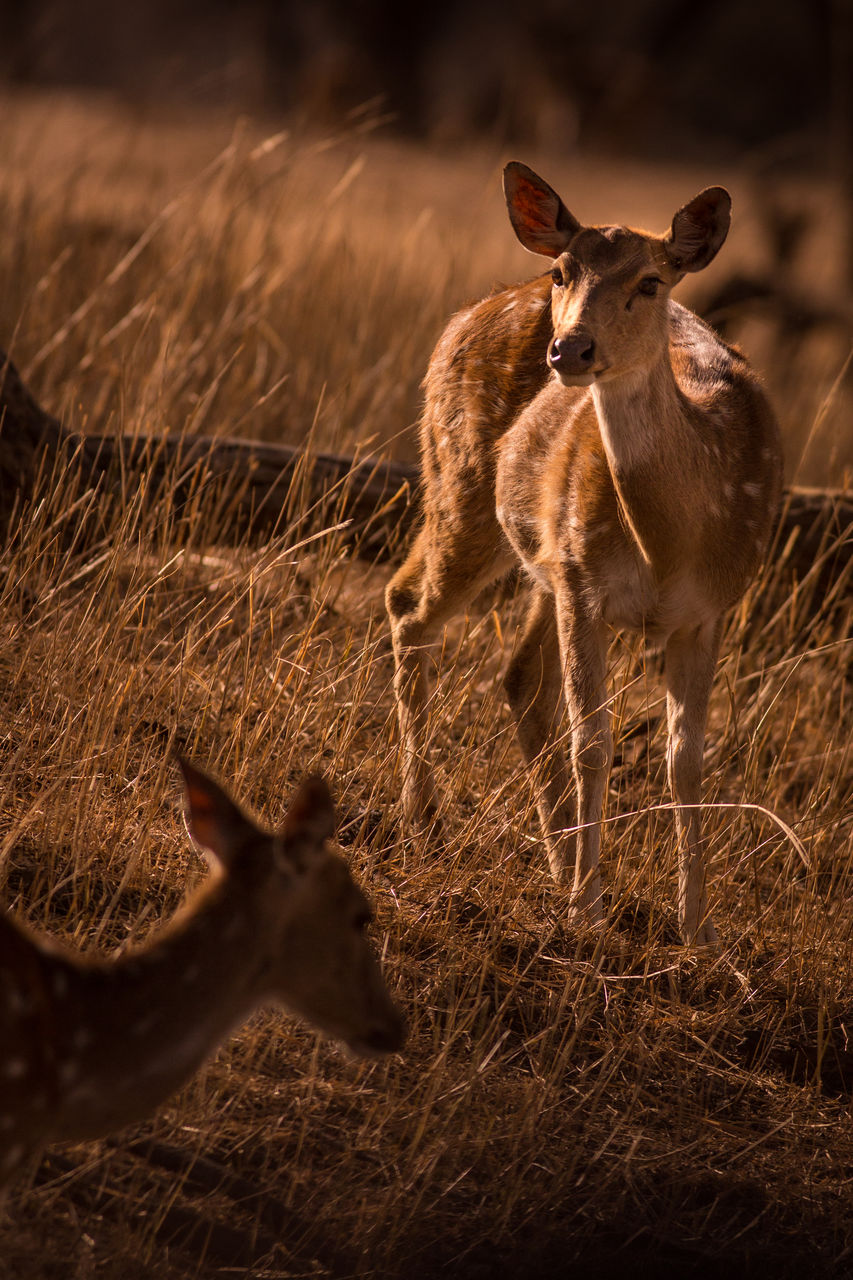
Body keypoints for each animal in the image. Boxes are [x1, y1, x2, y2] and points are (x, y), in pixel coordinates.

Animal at [384, 162, 778, 942]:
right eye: (565, 270)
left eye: (652, 281)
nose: (570, 350)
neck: (670, 544)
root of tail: (463, 317)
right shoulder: (585, 583)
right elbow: (593, 742)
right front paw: (587, 913)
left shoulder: (708, 607)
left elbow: (686, 760)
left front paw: (696, 929)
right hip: (462, 485)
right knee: (409, 604)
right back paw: (426, 821)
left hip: (537, 558)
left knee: (517, 676)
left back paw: (558, 858)